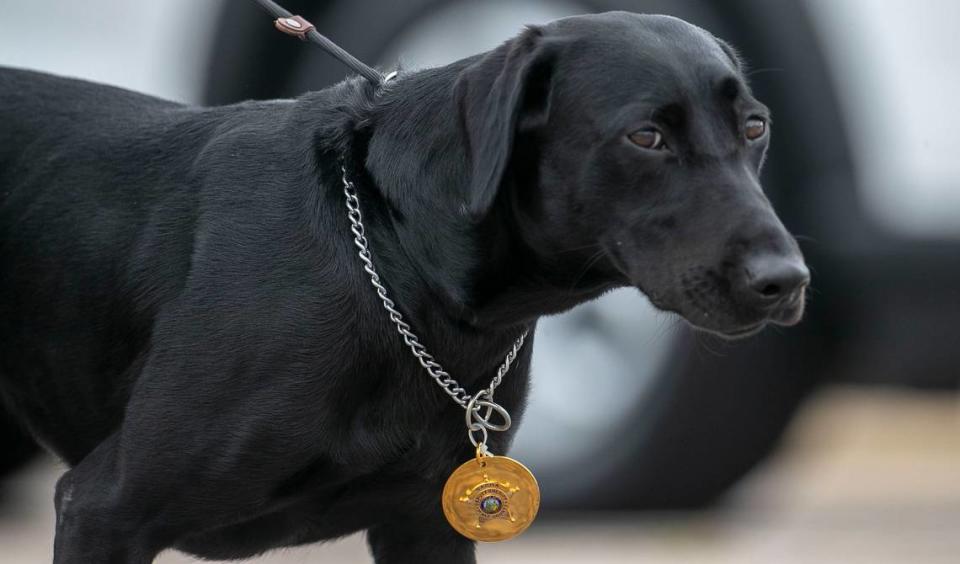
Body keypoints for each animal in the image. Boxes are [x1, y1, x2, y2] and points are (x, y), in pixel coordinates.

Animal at [0, 11, 808, 560]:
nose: (786, 282)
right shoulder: (104, 508)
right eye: (647, 137)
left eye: (755, 127)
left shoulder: (426, 524)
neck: (392, 264)